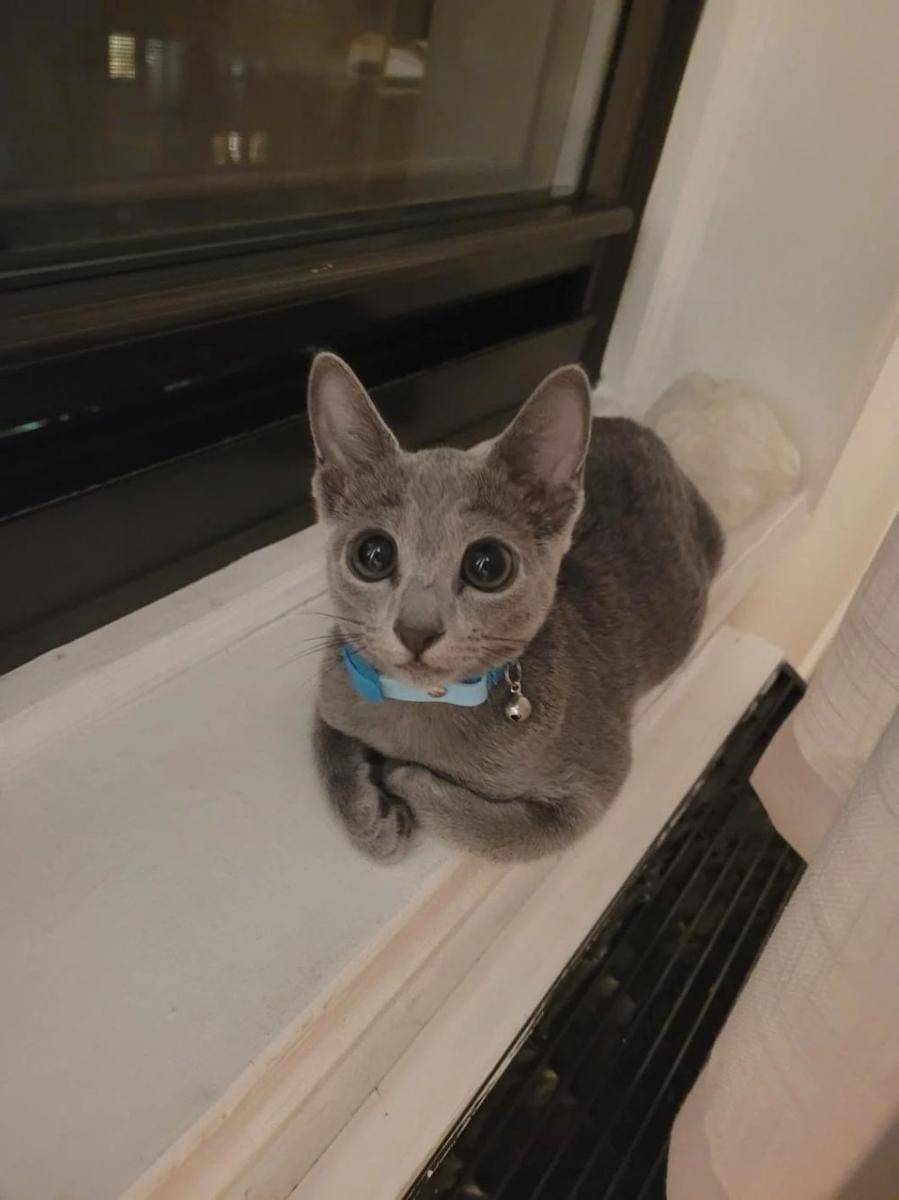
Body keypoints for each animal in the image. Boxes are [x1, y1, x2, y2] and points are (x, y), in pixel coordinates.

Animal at [309, 352, 723, 863]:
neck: (424, 703)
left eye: (488, 565)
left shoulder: (593, 785)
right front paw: (370, 819)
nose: (416, 629)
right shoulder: (334, 679)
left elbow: (498, 832)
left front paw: (402, 777)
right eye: (373, 554)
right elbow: (325, 738)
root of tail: (633, 423)